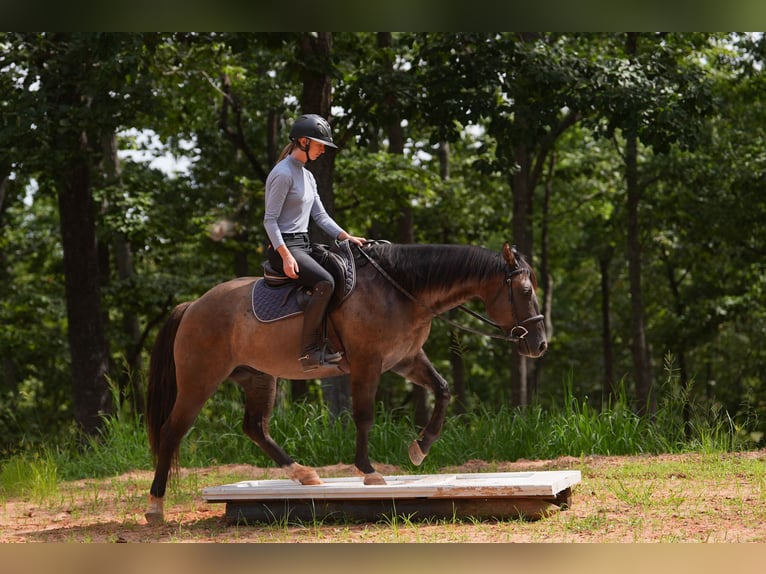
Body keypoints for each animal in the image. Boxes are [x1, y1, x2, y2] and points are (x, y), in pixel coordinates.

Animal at [144, 241, 547, 524]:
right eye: (525, 292)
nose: (540, 344)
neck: (401, 290)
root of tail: (193, 306)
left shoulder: (406, 359)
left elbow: (443, 390)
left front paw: (420, 448)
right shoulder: (368, 364)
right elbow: (364, 416)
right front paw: (369, 473)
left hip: (259, 377)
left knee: (255, 427)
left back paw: (304, 475)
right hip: (199, 381)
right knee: (172, 432)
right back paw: (155, 506)